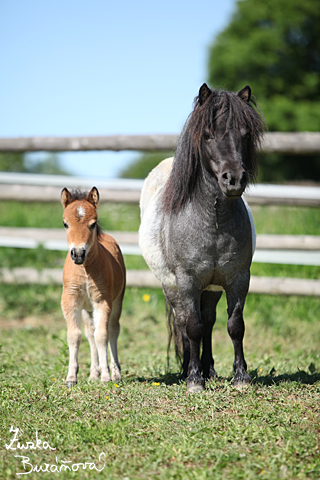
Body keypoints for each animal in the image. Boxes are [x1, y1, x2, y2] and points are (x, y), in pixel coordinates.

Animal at [60, 186, 125, 388]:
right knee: (89, 333)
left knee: (113, 329)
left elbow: (102, 336)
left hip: (117, 300)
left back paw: (115, 373)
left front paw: (106, 377)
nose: (78, 253)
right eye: (65, 224)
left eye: (93, 224)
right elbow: (74, 335)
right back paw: (93, 374)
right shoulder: (70, 300)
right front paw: (71, 377)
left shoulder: (102, 300)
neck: (85, 269)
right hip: (86, 308)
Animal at [139, 84, 264, 394]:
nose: (234, 179)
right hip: (173, 287)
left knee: (209, 320)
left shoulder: (238, 279)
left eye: (245, 133)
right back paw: (189, 369)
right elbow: (192, 327)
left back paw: (209, 369)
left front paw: (241, 377)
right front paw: (194, 380)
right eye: (207, 135)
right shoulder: (187, 281)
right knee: (186, 322)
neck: (213, 223)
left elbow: (235, 325)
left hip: (211, 288)